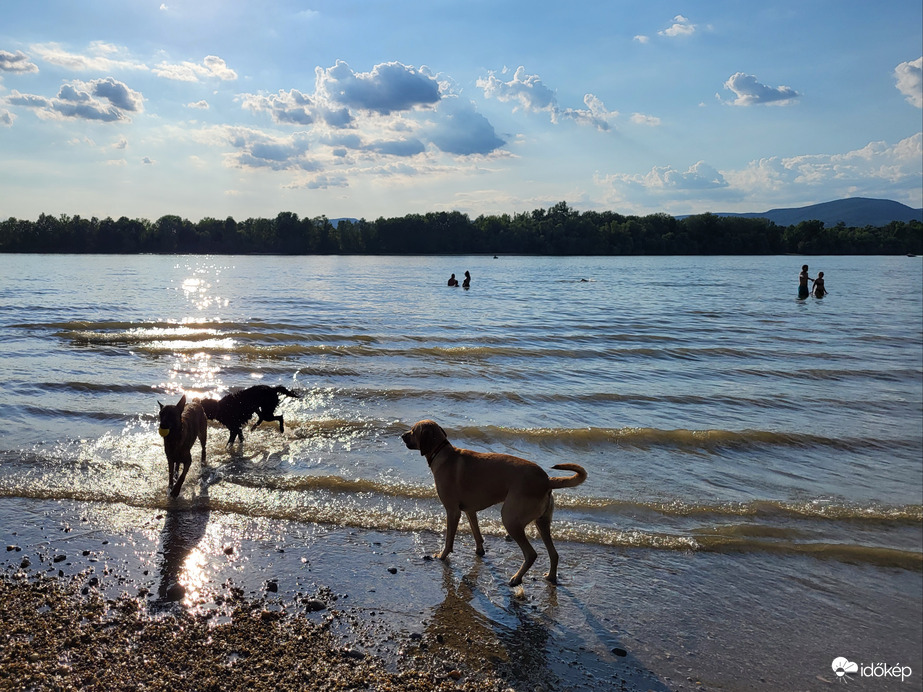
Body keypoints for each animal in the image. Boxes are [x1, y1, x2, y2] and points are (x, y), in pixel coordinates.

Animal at [400, 418, 588, 588]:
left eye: (413, 431)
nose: (401, 435)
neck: (442, 452)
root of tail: (547, 480)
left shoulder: (453, 511)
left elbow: (449, 539)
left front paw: (442, 556)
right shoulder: (469, 511)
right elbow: (476, 533)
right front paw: (479, 551)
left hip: (511, 519)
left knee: (531, 554)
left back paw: (517, 578)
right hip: (542, 522)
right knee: (554, 554)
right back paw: (550, 577)